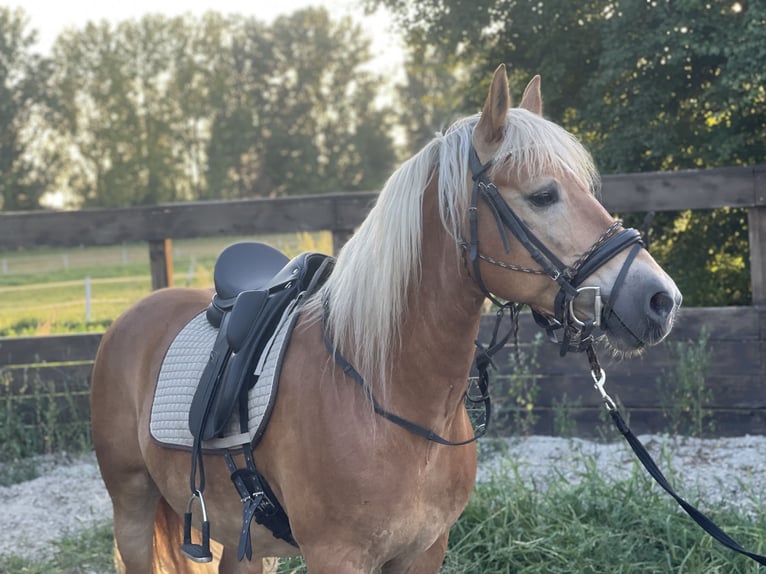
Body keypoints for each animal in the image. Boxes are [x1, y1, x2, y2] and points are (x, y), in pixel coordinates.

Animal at [90, 65, 684, 572]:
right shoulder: (337, 557)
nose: (661, 299)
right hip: (133, 509)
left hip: (243, 542)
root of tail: (132, 316)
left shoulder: (425, 550)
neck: (387, 395)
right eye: (543, 195)